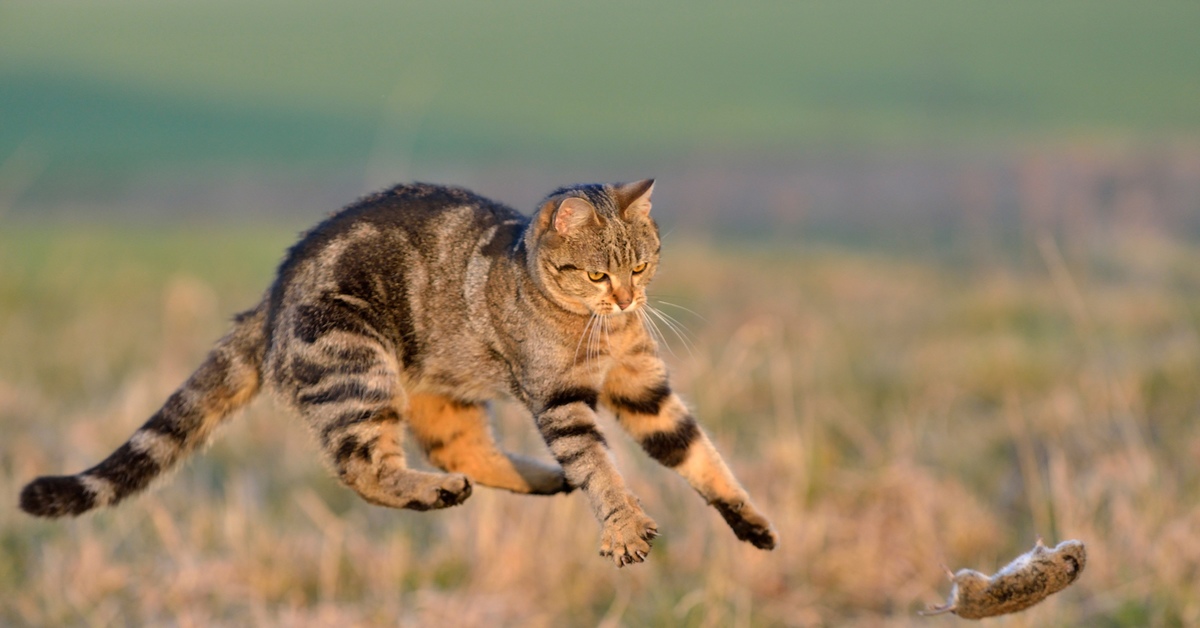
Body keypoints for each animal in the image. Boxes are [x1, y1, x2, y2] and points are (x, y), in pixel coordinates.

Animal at [25, 178, 787, 566]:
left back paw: (533, 481)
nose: (630, 299)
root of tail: (270, 299)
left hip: (438, 394)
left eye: (644, 264)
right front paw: (623, 523)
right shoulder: (562, 400)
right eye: (600, 273)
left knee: (460, 452)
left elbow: (697, 453)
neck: (597, 327)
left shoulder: (642, 387)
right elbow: (602, 466)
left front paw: (749, 520)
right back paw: (440, 490)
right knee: (361, 467)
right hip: (362, 375)